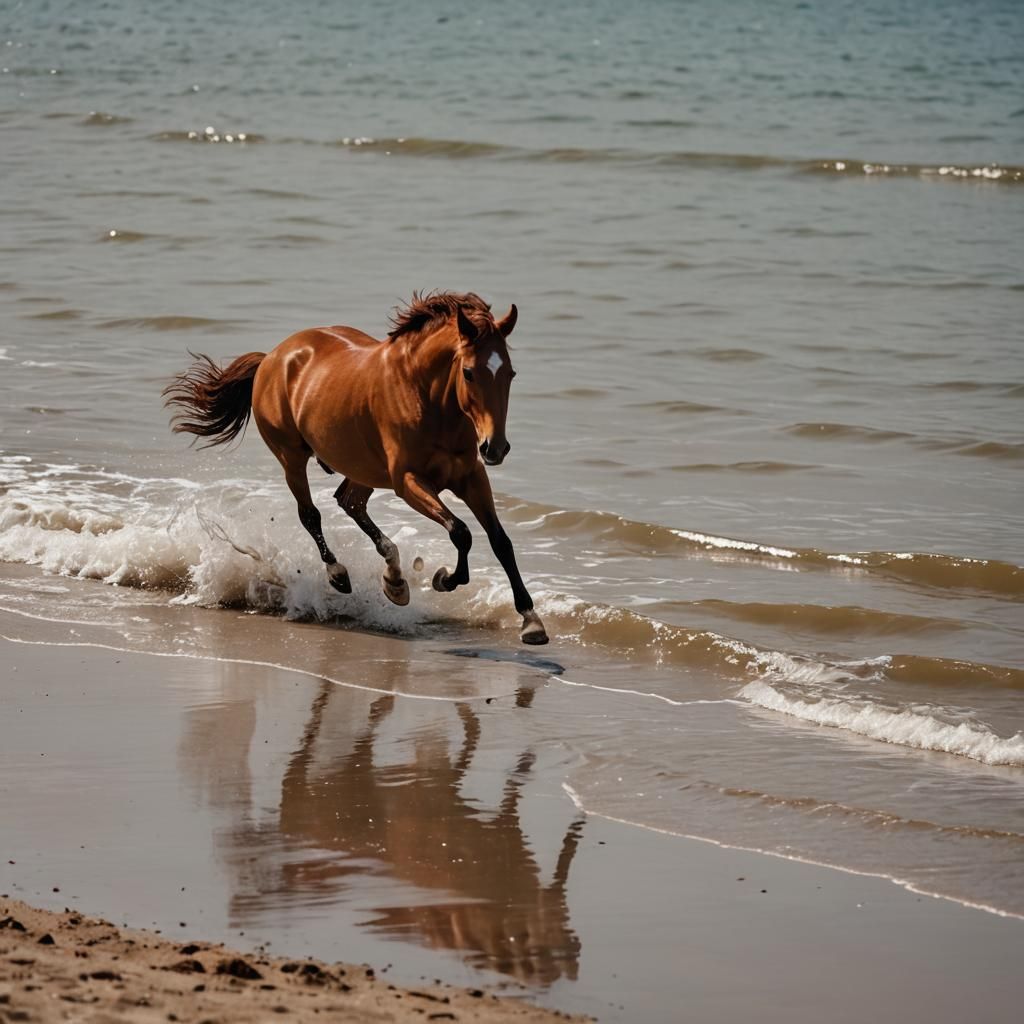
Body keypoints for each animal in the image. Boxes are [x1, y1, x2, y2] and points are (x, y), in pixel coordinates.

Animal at [163, 291, 549, 645]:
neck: (427, 397)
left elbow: (500, 540)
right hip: (292, 458)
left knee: (350, 501)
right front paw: (445, 579)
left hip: (364, 469)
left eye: (510, 372)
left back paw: (395, 580)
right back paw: (340, 575)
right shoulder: (408, 481)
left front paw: (531, 621)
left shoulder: (470, 476)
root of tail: (273, 356)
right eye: (468, 372)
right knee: (311, 514)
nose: (495, 448)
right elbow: (461, 531)